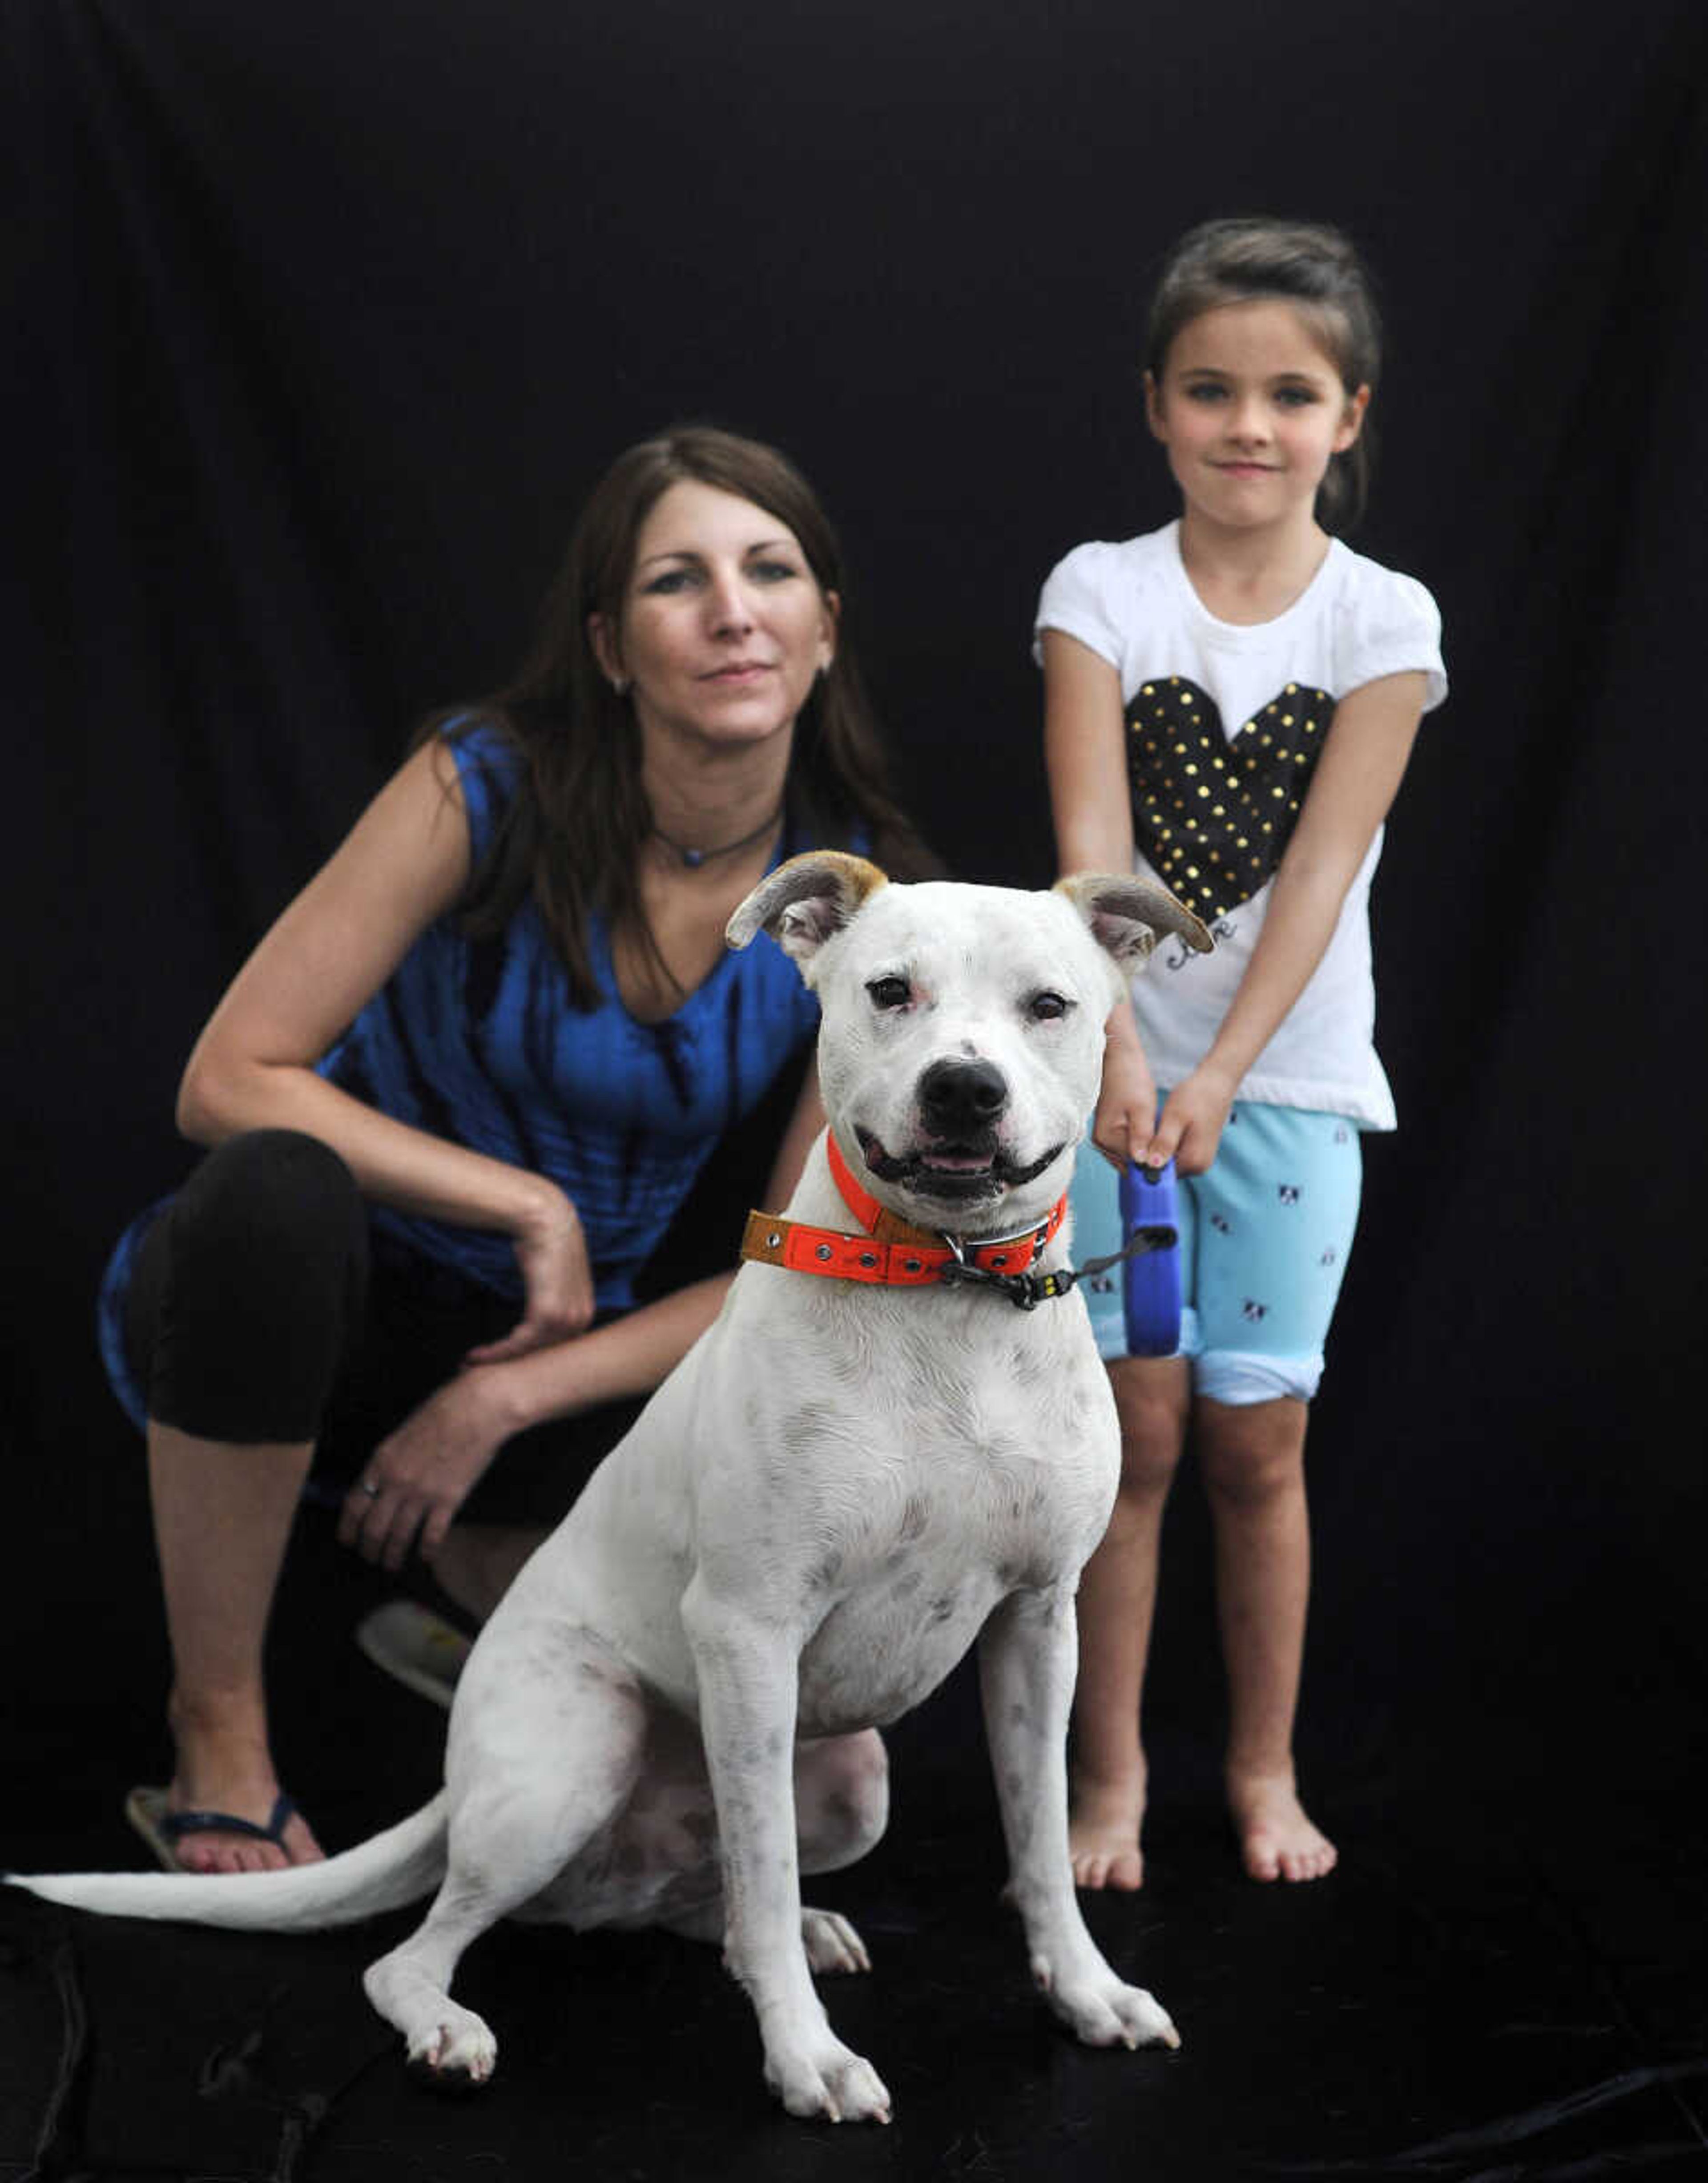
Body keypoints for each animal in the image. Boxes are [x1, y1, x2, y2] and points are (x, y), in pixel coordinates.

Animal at [13, 855, 1213, 2131]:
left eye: (1049, 1006)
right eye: (891, 991)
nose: (964, 1089)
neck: (947, 1290)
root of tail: (460, 1783)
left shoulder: (1040, 1621)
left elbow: (1037, 1836)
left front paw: (1084, 1991)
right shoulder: (749, 1629)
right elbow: (764, 1860)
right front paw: (805, 2056)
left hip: (850, 1785)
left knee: (710, 1897)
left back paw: (787, 1929)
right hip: (576, 1754)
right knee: (427, 1947)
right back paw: (450, 2024)